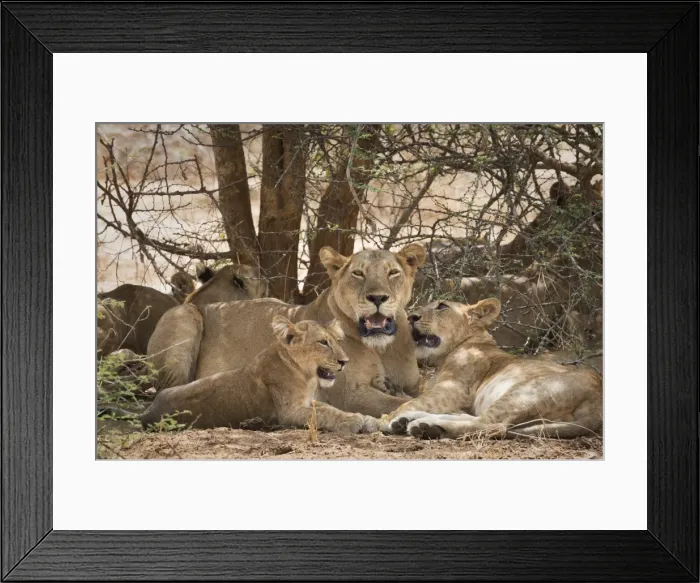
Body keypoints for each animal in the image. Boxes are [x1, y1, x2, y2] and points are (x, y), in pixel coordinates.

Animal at [141, 317, 379, 433]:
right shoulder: (289, 412)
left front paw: (369, 420)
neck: (306, 376)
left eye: (337, 341)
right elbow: (323, 414)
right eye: (323, 342)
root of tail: (147, 413)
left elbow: (330, 409)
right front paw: (353, 421)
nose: (345, 362)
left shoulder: (308, 401)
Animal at [147, 244, 427, 417]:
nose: (377, 298)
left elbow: (418, 392)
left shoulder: (414, 382)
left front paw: (394, 388)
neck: (383, 348)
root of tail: (194, 301)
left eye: (393, 273)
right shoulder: (348, 395)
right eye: (358, 273)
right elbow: (403, 402)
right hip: (185, 316)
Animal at [382, 298, 603, 440]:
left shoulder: (454, 388)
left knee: (488, 424)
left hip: (525, 391)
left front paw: (385, 419)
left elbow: (415, 401)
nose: (411, 317)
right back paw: (413, 421)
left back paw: (425, 426)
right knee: (474, 417)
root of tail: (598, 406)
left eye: (442, 306)